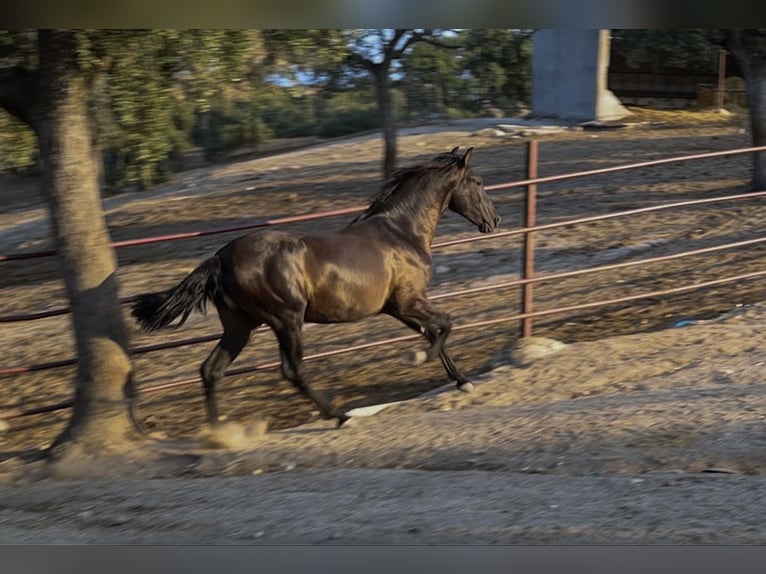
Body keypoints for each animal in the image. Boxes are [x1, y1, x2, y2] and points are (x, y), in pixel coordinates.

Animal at [130, 146, 504, 430]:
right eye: (478, 181)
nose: (495, 220)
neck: (401, 232)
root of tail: (220, 258)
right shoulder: (408, 300)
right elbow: (445, 325)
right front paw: (420, 358)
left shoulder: (398, 308)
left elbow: (435, 330)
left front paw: (461, 379)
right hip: (286, 319)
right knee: (292, 370)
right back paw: (340, 416)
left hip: (240, 325)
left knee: (211, 370)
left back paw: (218, 433)